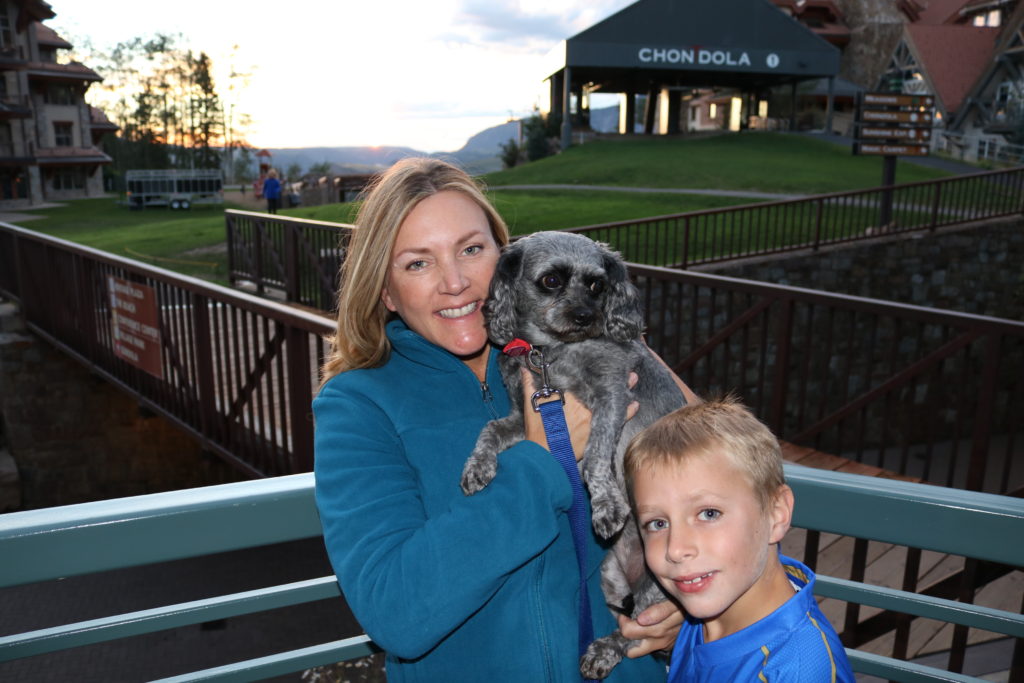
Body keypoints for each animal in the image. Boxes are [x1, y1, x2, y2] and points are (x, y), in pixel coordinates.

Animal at [462, 232, 688, 679]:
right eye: (551, 280)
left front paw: (605, 504)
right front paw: (478, 466)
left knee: (633, 635)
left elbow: (599, 453)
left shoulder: (613, 395)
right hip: (610, 576)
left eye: (598, 284)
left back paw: (602, 651)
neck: (552, 353)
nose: (587, 316)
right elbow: (490, 430)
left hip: (662, 591)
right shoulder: (524, 415)